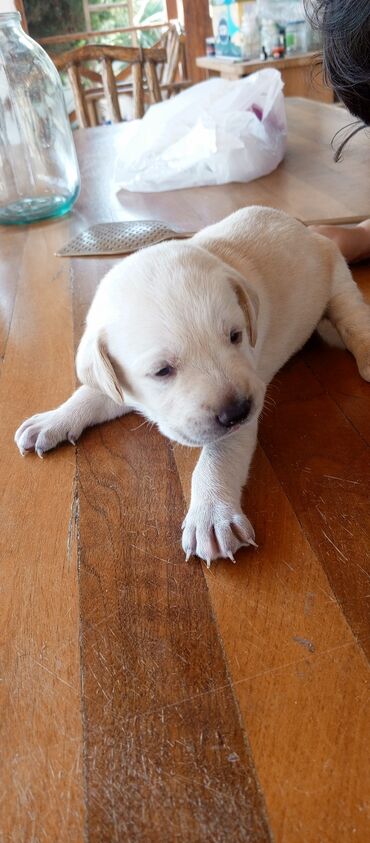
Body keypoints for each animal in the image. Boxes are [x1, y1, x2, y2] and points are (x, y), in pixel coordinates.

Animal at [15, 207, 370, 568]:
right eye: (162, 371)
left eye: (235, 336)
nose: (239, 410)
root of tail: (304, 228)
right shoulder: (120, 382)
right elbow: (91, 393)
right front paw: (55, 418)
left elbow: (219, 454)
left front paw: (211, 514)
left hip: (337, 276)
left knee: (353, 316)